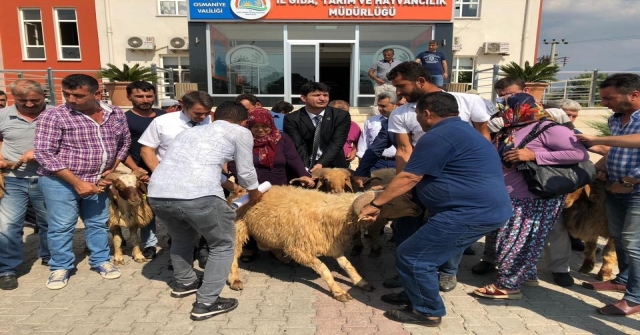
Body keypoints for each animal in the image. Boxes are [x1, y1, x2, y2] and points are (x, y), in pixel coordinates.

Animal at [228, 185, 422, 304]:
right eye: (390, 202)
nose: (417, 209)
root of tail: (238, 190)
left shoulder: (332, 245)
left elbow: (347, 265)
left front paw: (360, 282)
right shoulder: (300, 249)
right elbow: (324, 268)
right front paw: (339, 292)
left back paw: (284, 259)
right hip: (239, 227)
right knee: (233, 255)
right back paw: (235, 280)